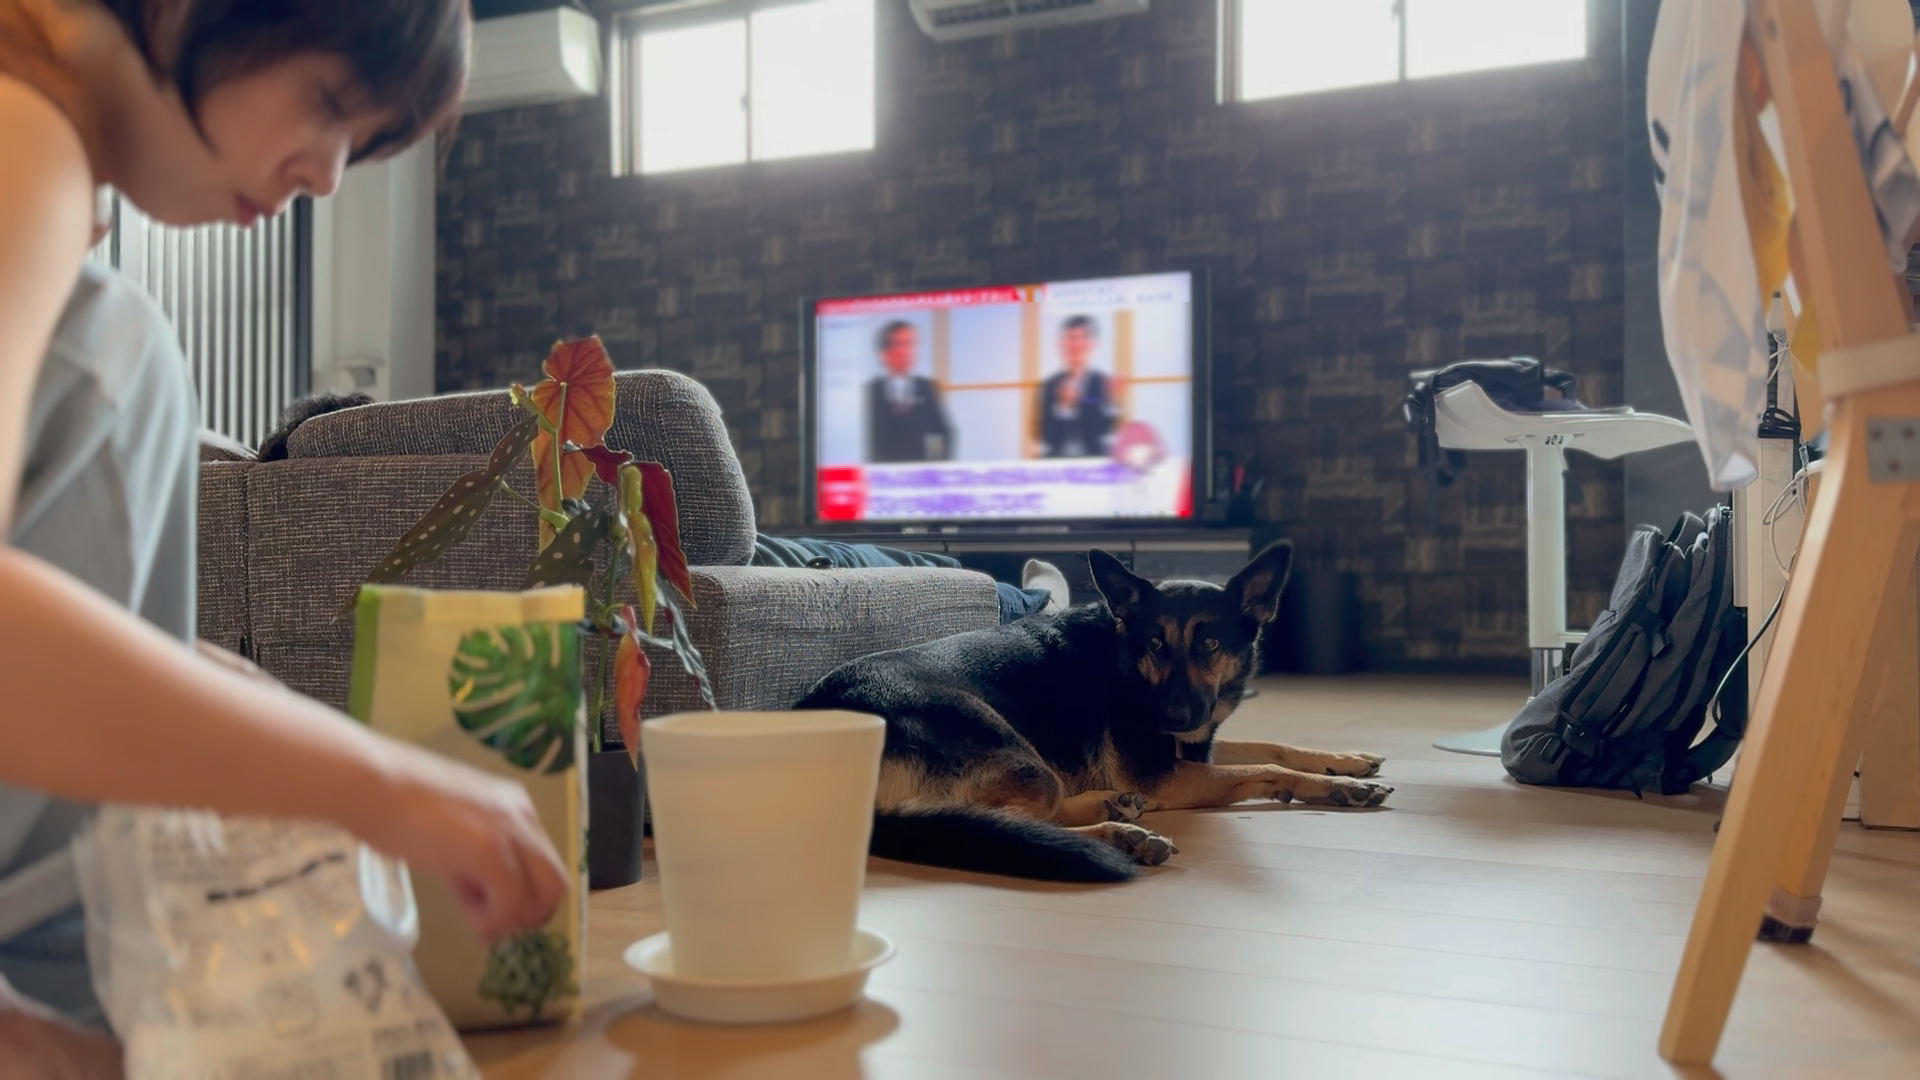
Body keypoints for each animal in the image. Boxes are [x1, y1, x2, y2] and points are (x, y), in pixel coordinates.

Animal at [794, 541, 1392, 883]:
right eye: (1155, 643)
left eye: (1210, 643)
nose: (1172, 716)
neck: (1125, 660)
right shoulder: (1163, 772)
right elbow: (1262, 766)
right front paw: (1338, 787)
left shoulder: (1192, 747)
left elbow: (1272, 745)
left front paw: (1345, 761)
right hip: (1018, 757)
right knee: (1004, 819)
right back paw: (1120, 834)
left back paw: (1113, 807)